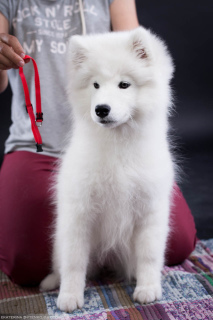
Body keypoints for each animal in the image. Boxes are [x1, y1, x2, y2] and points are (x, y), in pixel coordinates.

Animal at [40, 26, 175, 312]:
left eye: (124, 84)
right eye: (95, 85)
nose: (101, 109)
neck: (118, 145)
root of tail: (108, 261)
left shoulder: (150, 209)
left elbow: (149, 256)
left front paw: (148, 289)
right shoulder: (78, 212)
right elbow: (74, 261)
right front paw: (69, 296)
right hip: (61, 240)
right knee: (63, 263)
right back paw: (51, 281)